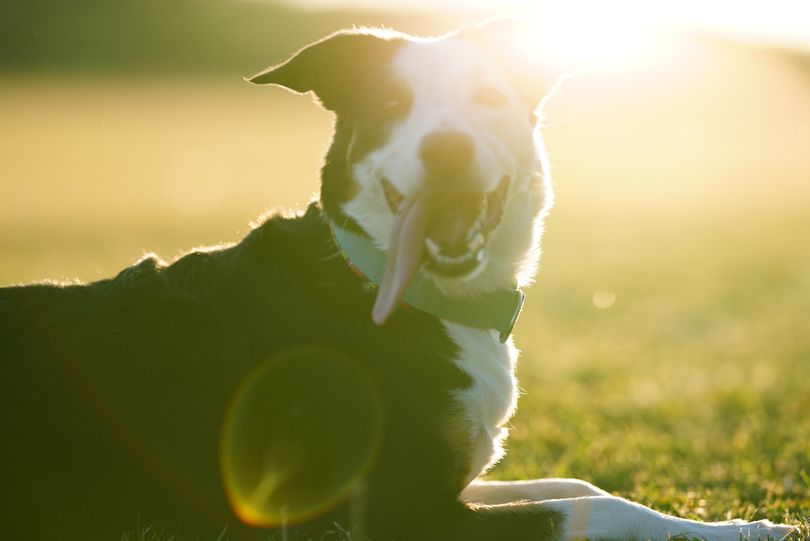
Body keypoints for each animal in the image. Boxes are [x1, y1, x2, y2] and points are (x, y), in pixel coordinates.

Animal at [0, 21, 796, 540]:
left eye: (488, 98)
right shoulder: (393, 513)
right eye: (389, 107)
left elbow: (581, 486)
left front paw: (736, 525)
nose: (445, 150)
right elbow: (584, 511)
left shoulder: (450, 478)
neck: (392, 288)